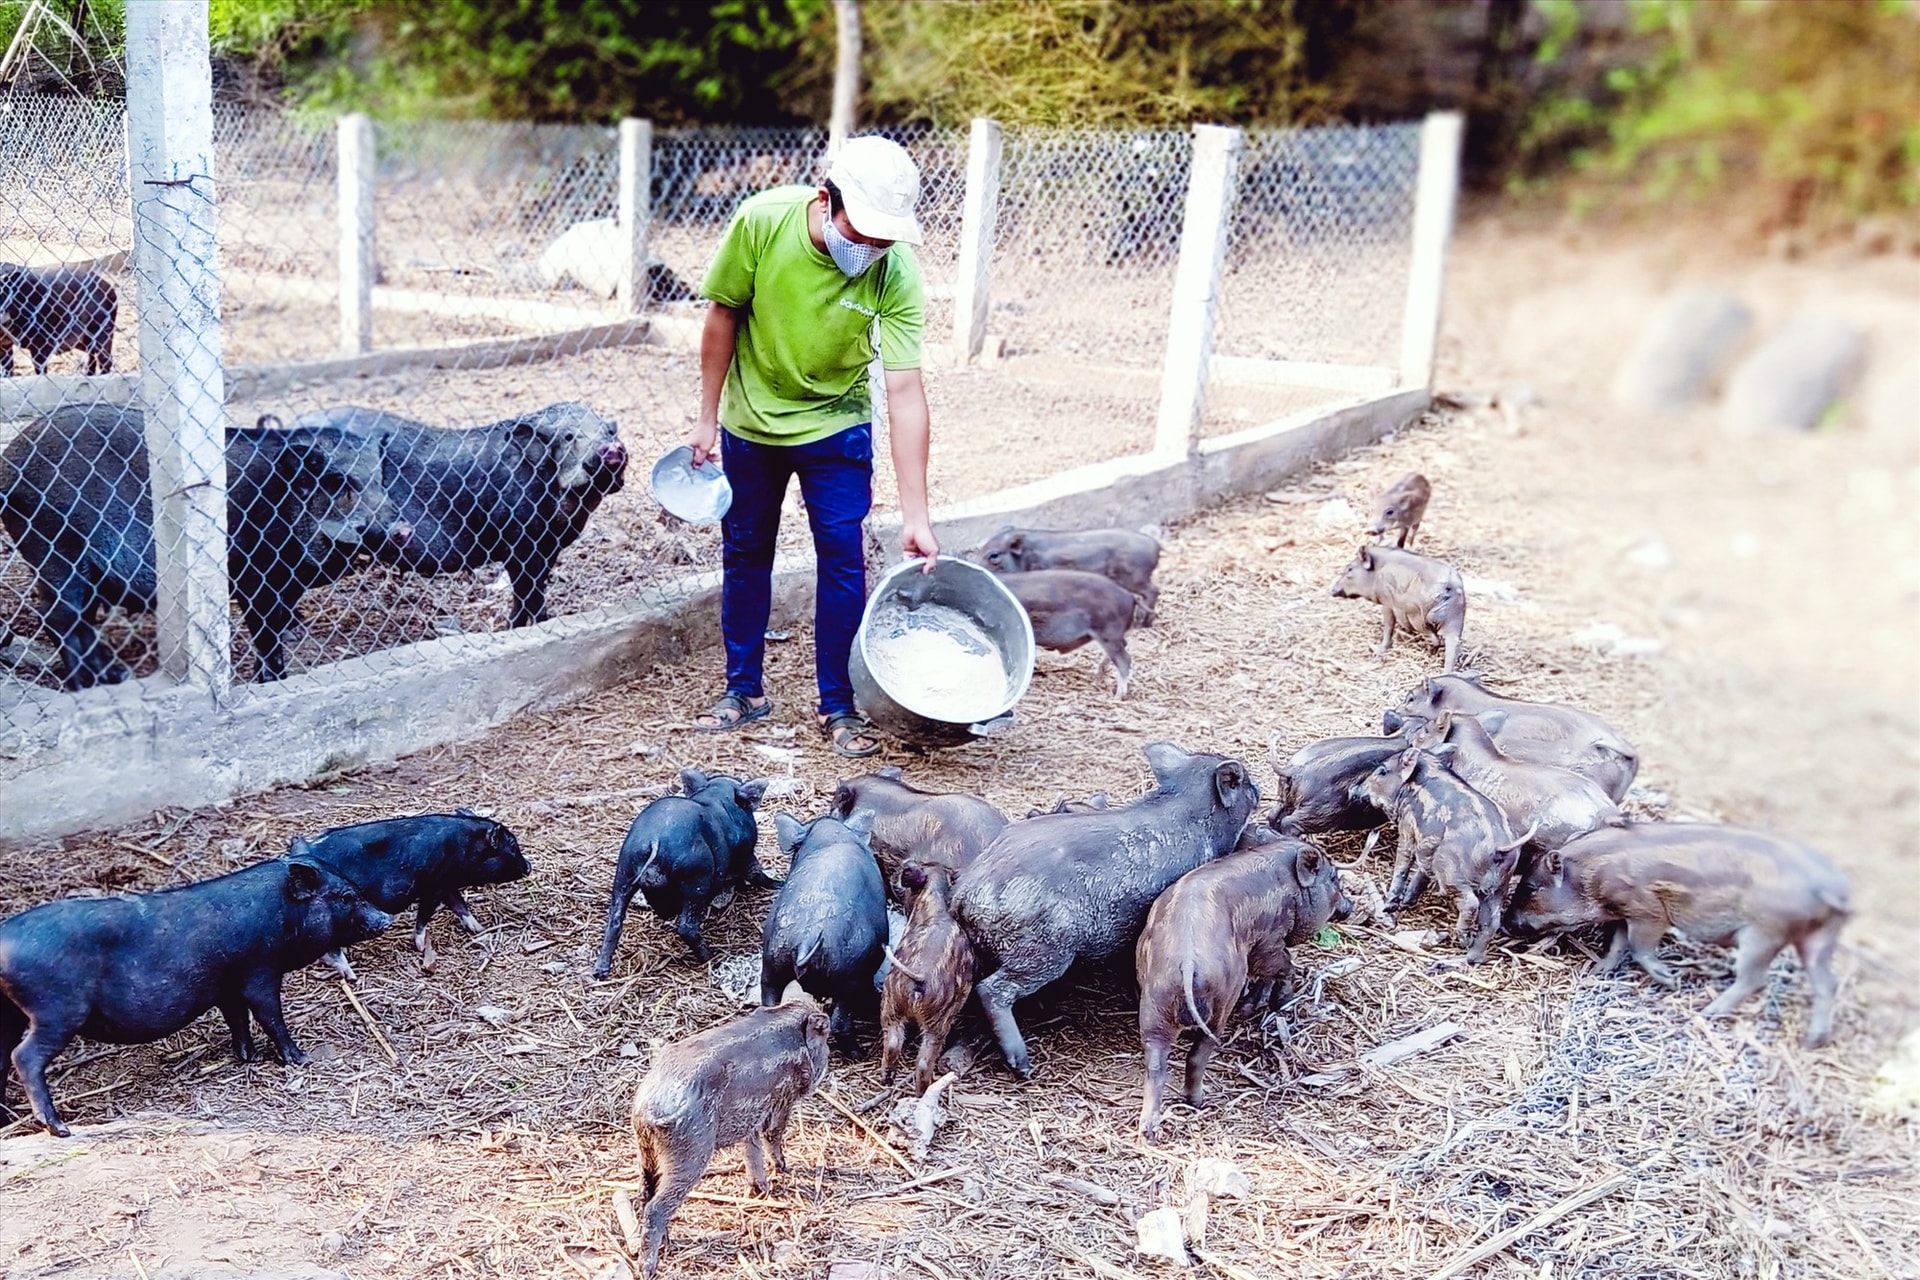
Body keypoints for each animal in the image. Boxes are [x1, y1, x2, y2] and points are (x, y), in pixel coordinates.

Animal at [0, 855, 389, 1136]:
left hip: (12, 1013)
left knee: (4, 1057)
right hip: (57, 1011)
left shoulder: (229, 986)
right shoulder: (260, 972)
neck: (282, 914)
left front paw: (247, 1057)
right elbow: (270, 1017)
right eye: (346, 896)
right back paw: (60, 1129)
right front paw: (302, 1059)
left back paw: (7, 1117)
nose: (385, 917)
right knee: (24, 1057)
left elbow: (238, 1019)